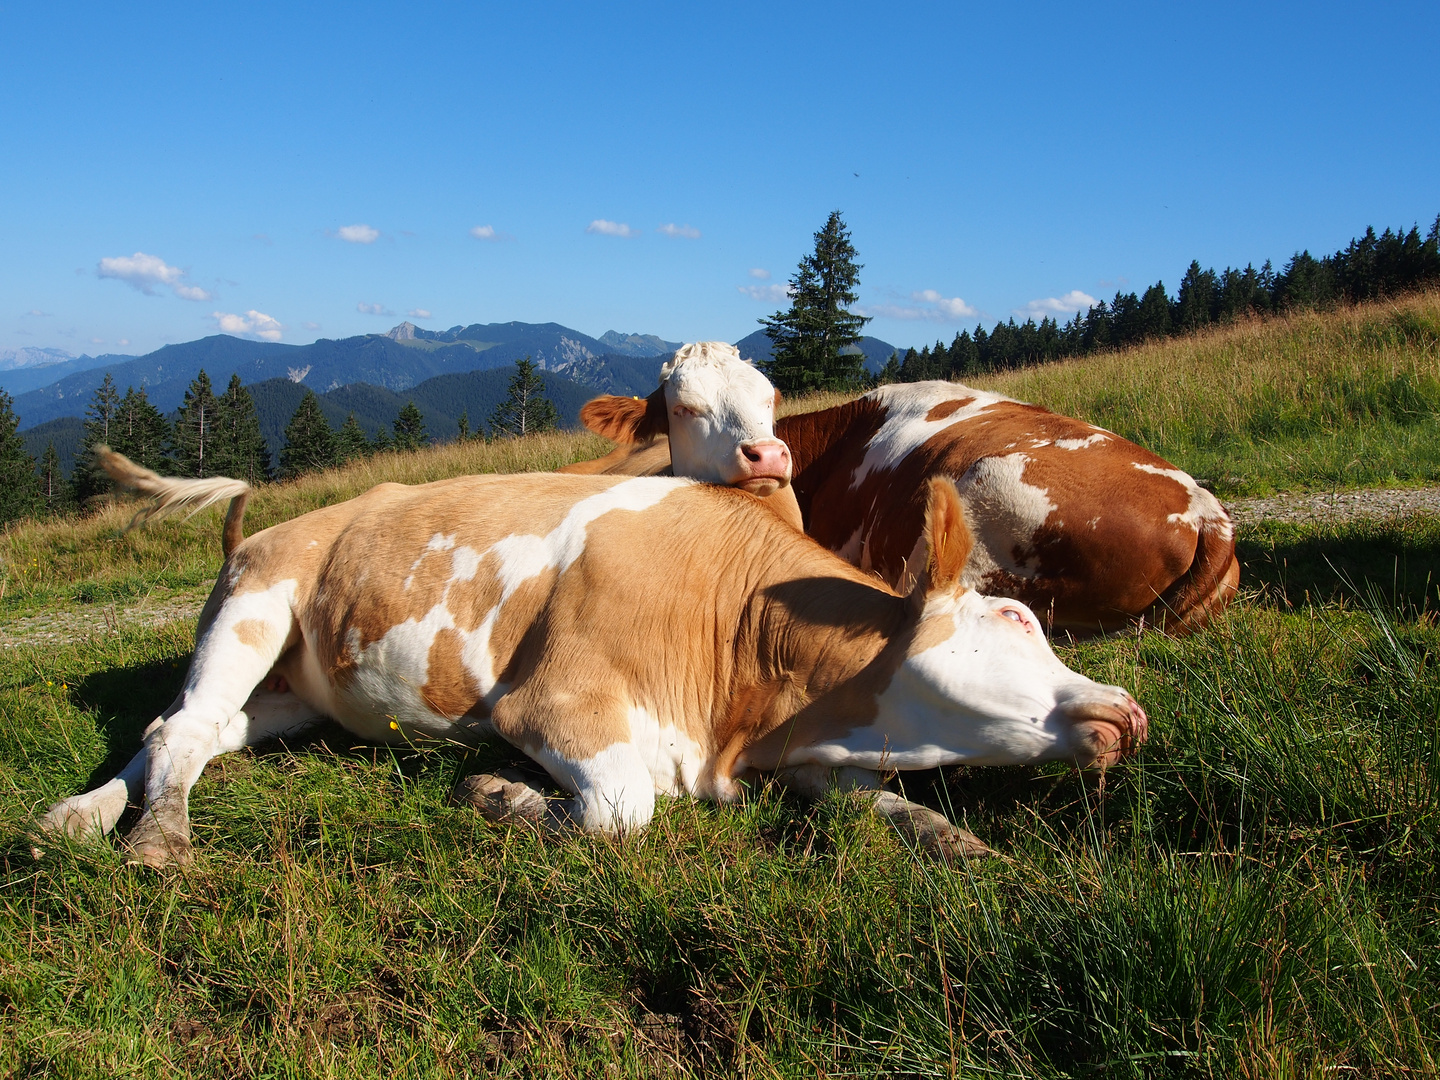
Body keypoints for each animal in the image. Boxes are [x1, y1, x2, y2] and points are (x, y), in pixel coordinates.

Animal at [36, 449, 1146, 869]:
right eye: (1017, 622)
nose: (1127, 710)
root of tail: (269, 524)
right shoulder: (550, 703)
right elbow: (621, 810)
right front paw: (496, 794)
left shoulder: (802, 756)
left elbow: (890, 807)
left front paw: (964, 846)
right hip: (255, 605)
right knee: (184, 725)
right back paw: (153, 840)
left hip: (297, 693)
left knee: (184, 730)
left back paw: (77, 816)